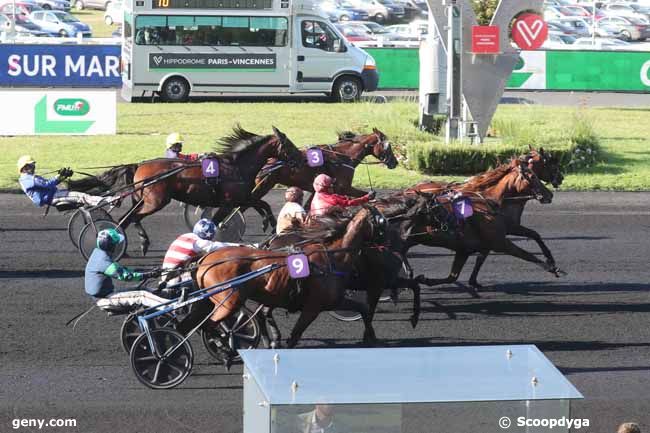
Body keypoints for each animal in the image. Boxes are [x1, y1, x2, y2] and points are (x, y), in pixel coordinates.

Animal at [119, 125, 304, 253]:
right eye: (289, 144)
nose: (302, 159)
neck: (237, 167)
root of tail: (139, 165)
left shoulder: (242, 197)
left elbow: (262, 204)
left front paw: (269, 224)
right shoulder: (229, 203)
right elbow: (215, 222)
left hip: (143, 200)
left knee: (125, 218)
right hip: (156, 202)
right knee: (134, 217)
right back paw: (142, 242)